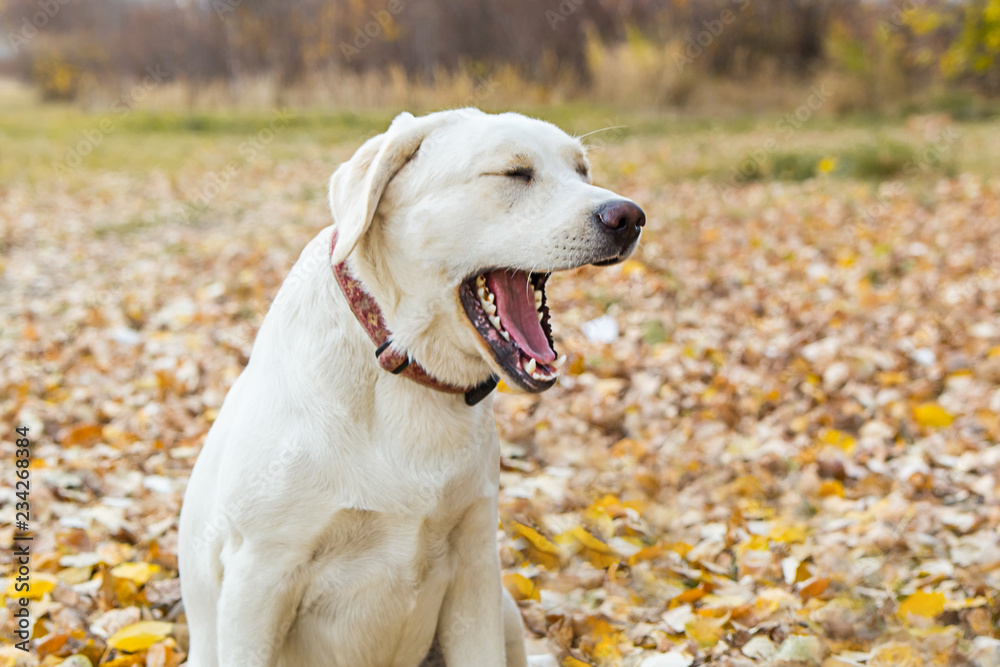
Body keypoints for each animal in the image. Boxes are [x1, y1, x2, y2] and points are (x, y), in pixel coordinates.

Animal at [180, 109, 644, 667]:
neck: (405, 367)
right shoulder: (259, 576)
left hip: (506, 608)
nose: (629, 216)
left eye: (582, 171)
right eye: (514, 173)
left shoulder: (474, 568)